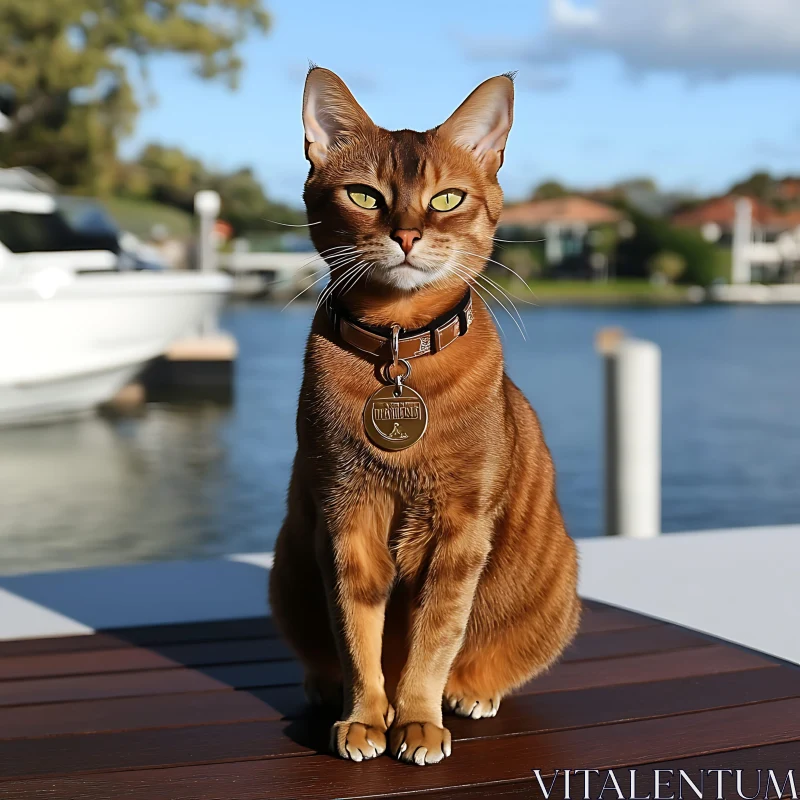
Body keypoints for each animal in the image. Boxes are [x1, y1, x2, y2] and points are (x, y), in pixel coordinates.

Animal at [270, 67, 580, 764]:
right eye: (364, 195)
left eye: (446, 199)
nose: (407, 235)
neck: (396, 344)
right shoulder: (346, 517)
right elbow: (356, 633)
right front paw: (364, 717)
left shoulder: (459, 531)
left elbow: (434, 638)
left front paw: (414, 719)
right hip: (288, 564)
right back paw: (322, 689)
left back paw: (472, 694)